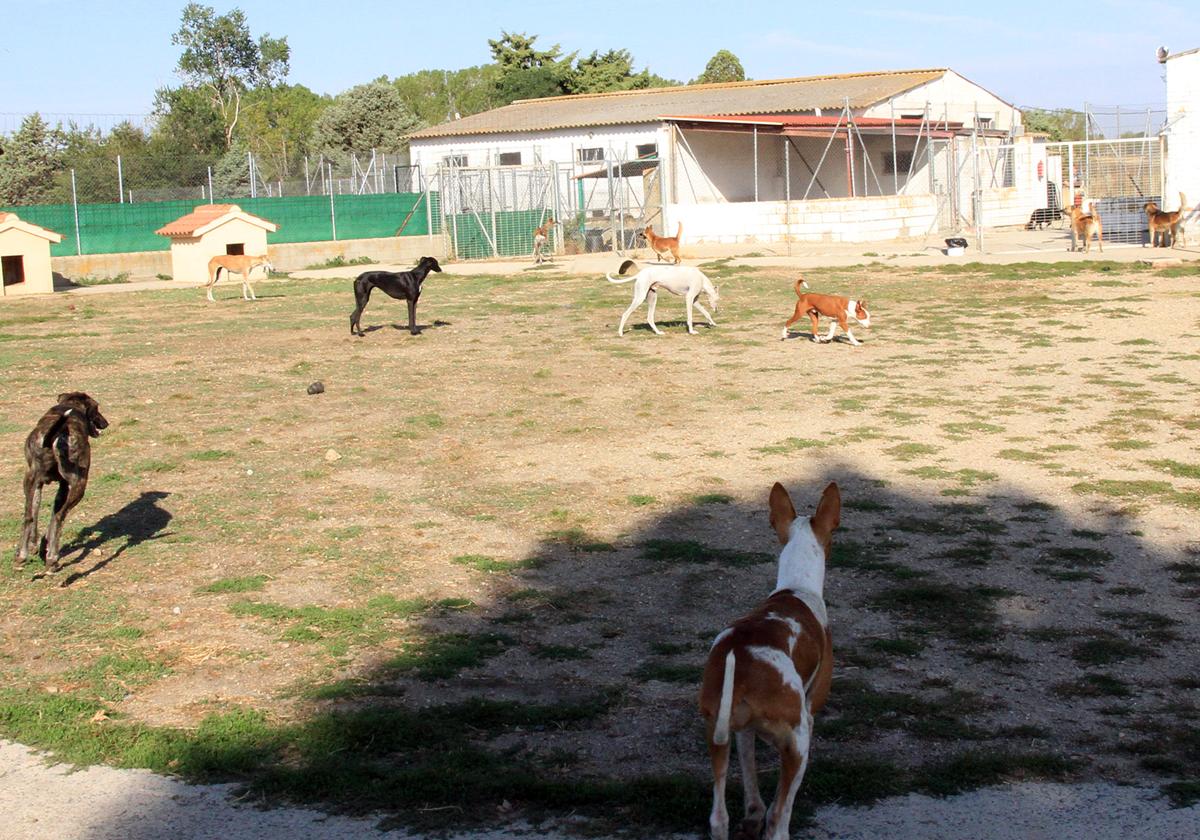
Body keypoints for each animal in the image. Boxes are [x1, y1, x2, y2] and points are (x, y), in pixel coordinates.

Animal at [15, 391, 108, 573]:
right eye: (97, 408)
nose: (106, 423)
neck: (71, 406)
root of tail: (56, 436)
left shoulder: (43, 486)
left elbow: (39, 517)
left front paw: (38, 546)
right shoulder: (66, 487)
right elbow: (53, 521)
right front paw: (47, 549)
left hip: (29, 480)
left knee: (29, 516)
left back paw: (22, 556)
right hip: (80, 483)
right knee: (60, 517)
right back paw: (52, 559)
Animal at [700, 480, 840, 840]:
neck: (796, 586)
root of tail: (744, 662)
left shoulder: (742, 731)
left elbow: (751, 788)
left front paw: (752, 815)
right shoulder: (809, 713)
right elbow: (776, 806)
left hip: (717, 733)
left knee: (718, 817)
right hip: (798, 741)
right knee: (779, 817)